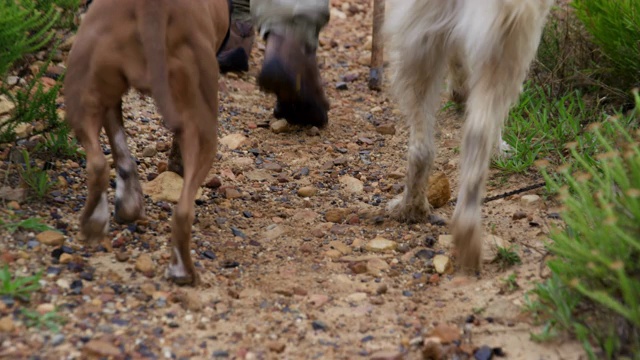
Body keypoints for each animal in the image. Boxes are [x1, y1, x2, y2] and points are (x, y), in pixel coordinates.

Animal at [64, 0, 232, 286]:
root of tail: (152, 7)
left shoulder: (111, 100)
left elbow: (121, 152)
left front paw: (128, 206)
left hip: (82, 91)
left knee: (98, 164)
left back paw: (94, 223)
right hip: (204, 123)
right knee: (183, 211)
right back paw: (182, 271)